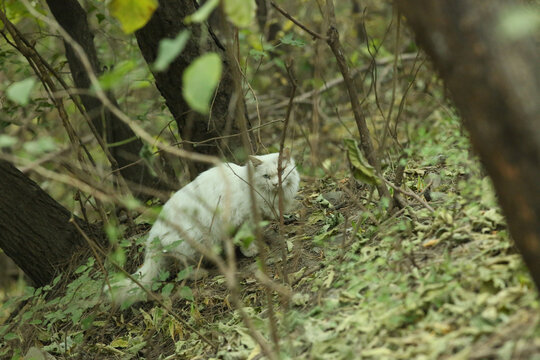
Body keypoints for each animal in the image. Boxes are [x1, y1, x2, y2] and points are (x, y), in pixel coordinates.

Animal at [105, 149, 300, 304]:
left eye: (282, 171)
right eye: (266, 176)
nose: (275, 183)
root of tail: (154, 231)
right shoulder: (244, 219)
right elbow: (246, 238)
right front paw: (251, 251)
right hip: (193, 243)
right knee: (184, 269)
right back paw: (201, 273)